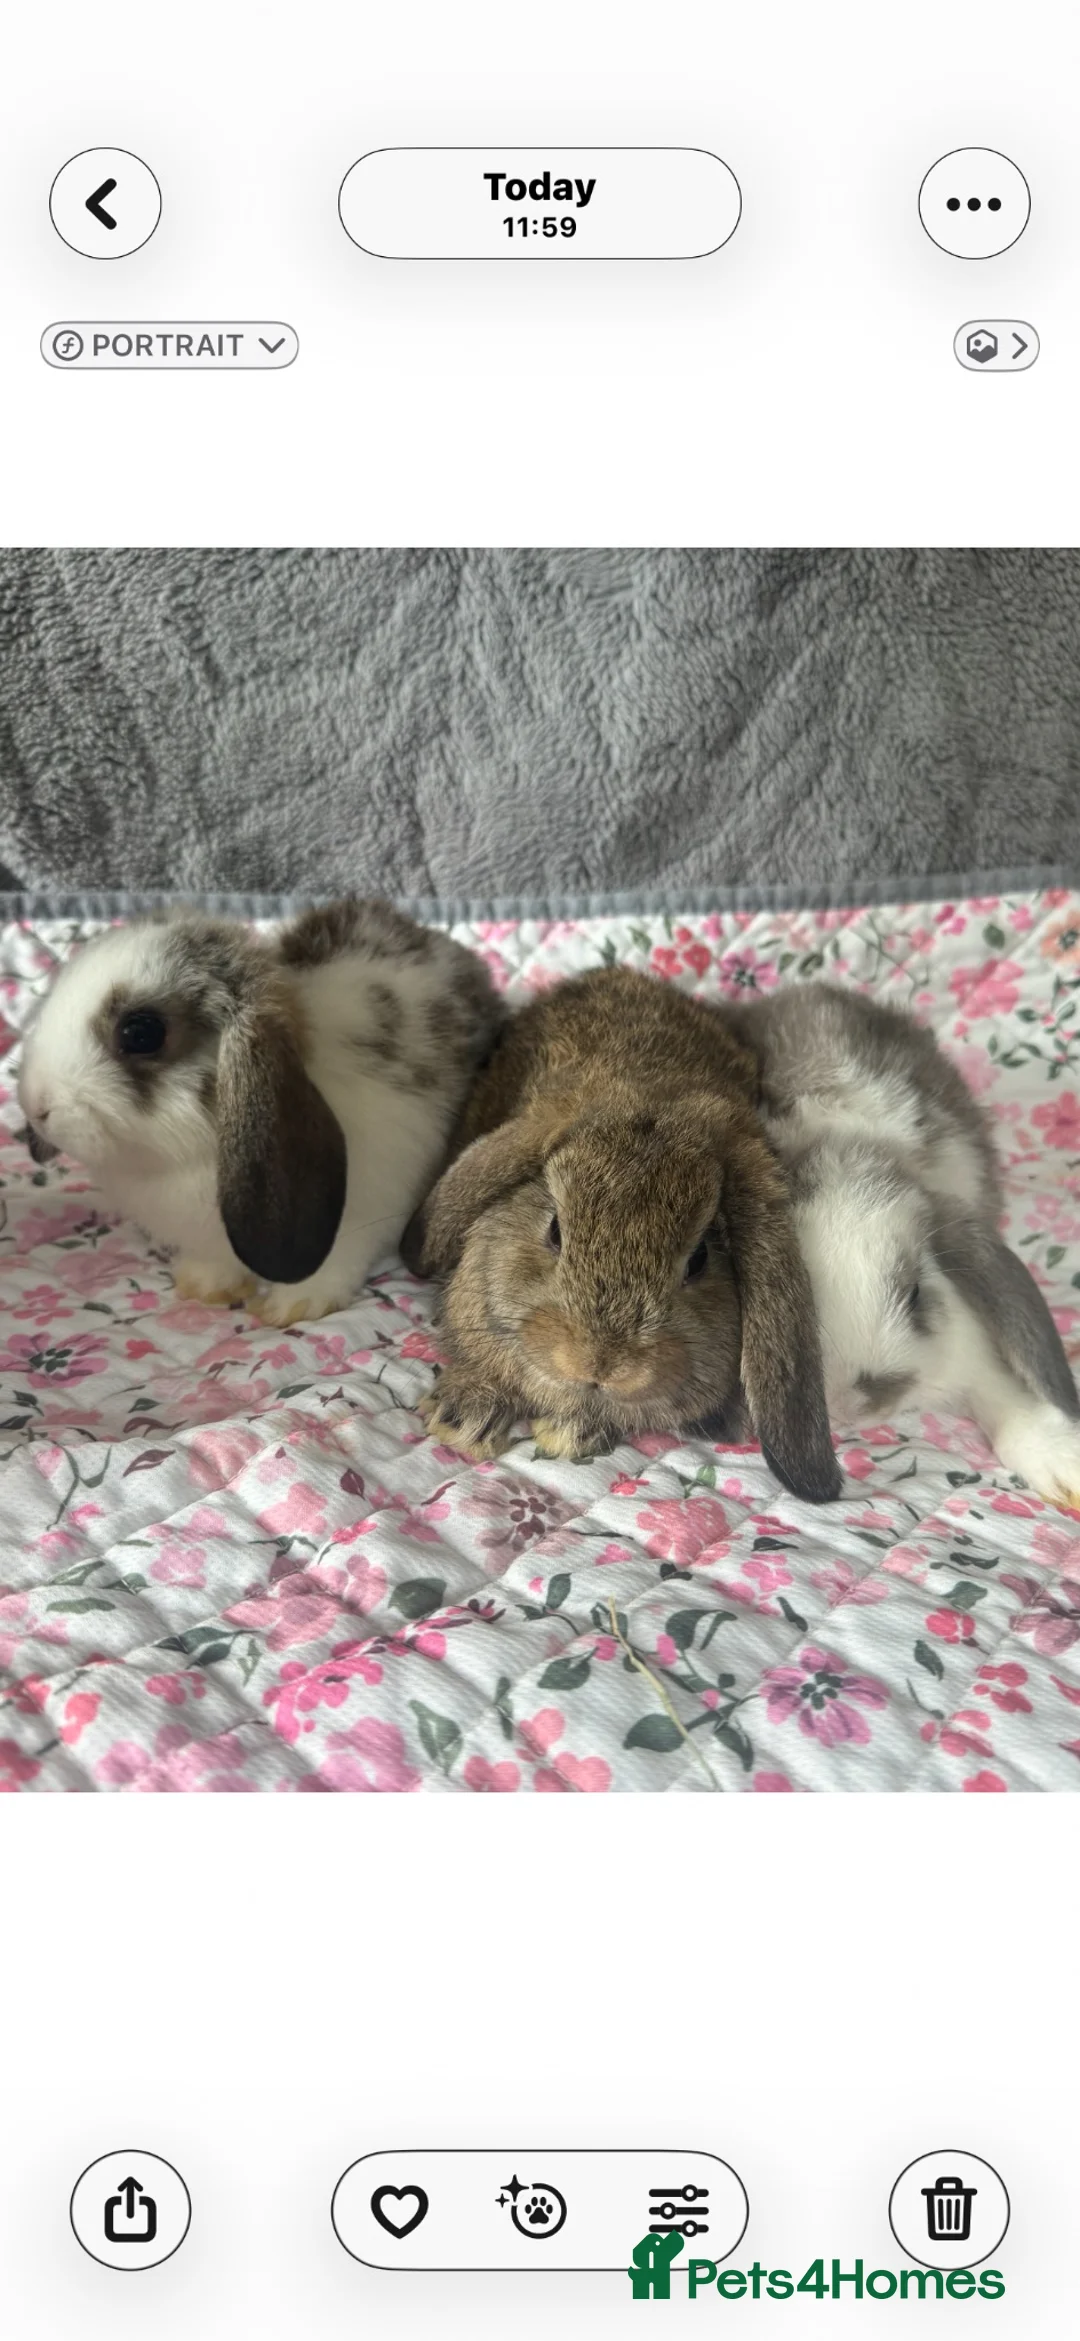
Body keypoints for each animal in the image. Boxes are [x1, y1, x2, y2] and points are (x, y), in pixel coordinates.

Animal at [17, 898, 504, 1327]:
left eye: (141, 1033)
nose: (37, 1106)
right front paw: (206, 1287)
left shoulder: (364, 1215)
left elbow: (334, 1265)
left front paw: (293, 1306)